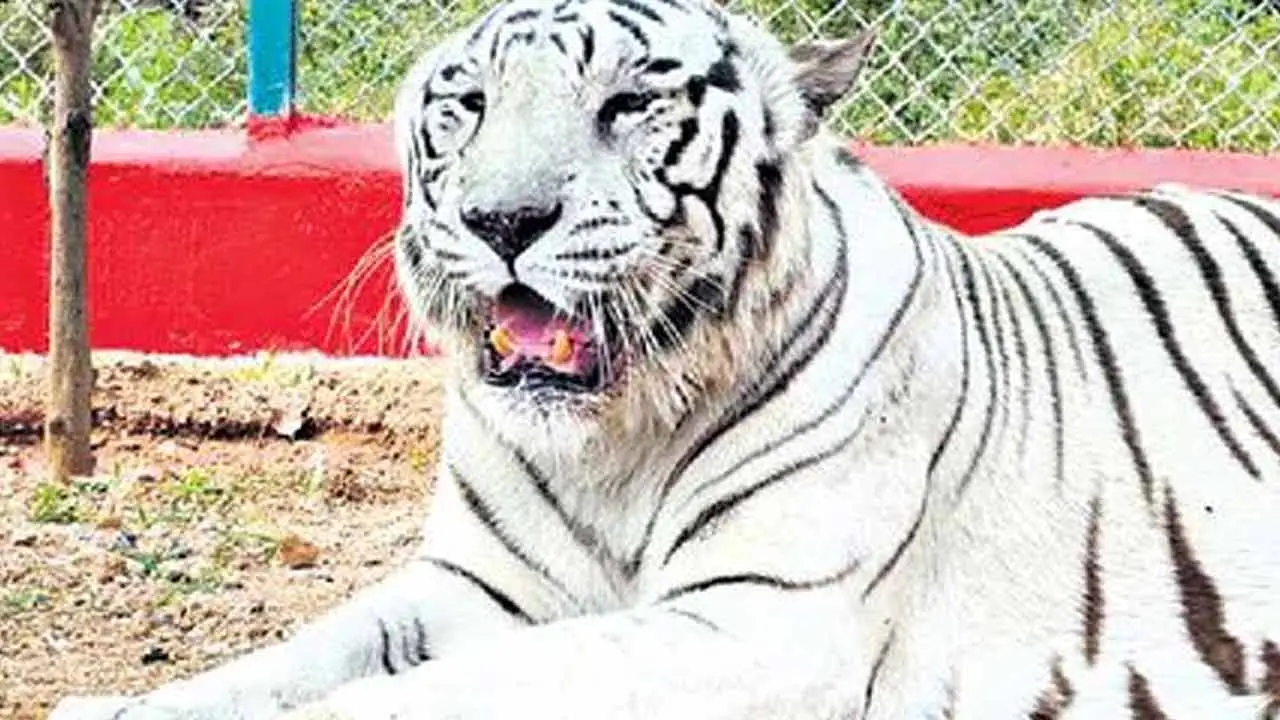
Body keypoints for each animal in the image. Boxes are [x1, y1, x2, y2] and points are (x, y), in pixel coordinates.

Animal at [49, 0, 1280, 717]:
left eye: (630, 103)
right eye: (468, 104)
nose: (503, 219)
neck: (613, 445)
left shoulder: (758, 622)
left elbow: (432, 697)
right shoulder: (477, 586)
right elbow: (298, 658)